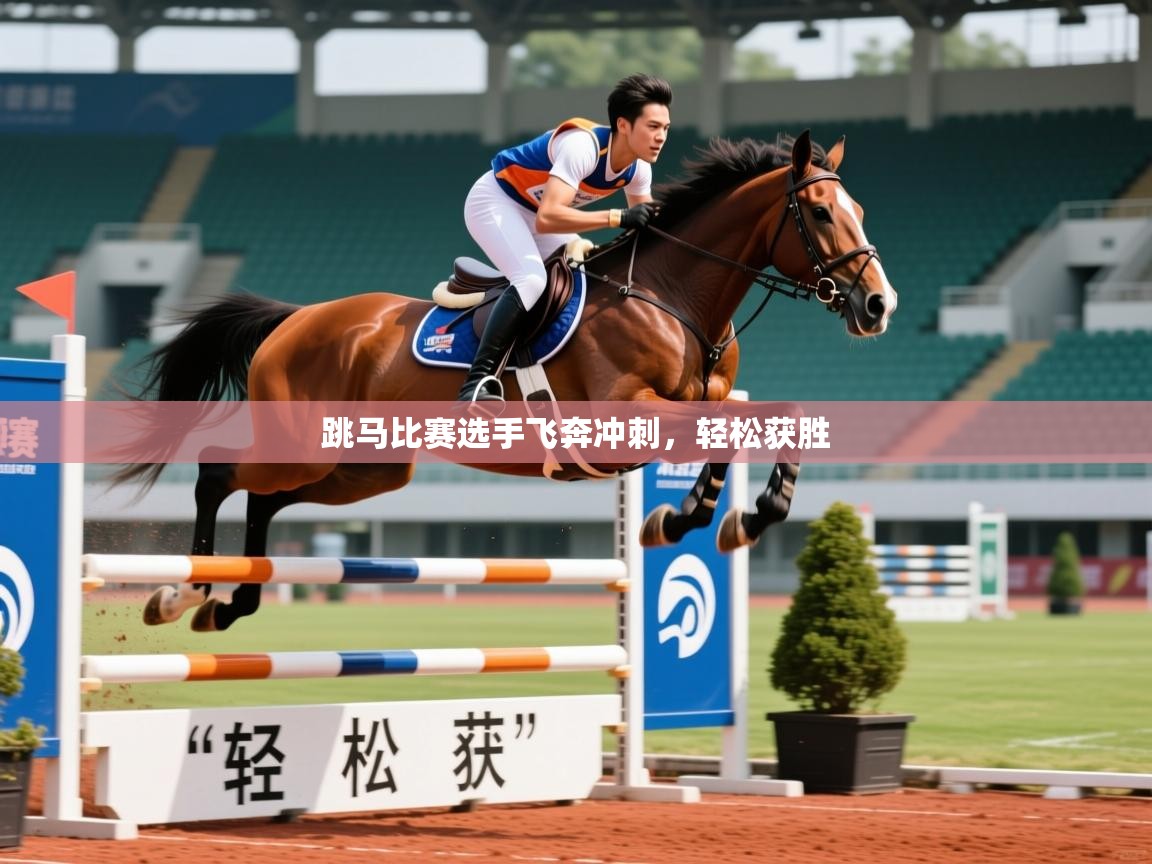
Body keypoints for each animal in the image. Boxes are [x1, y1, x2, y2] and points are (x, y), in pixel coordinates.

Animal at [113, 129, 897, 632]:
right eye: (820, 212)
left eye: (860, 211)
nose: (878, 306)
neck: (675, 294)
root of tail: (297, 317)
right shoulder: (625, 416)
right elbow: (730, 433)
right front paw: (702, 517)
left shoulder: (704, 402)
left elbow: (769, 419)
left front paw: (716, 518)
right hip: (305, 444)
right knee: (219, 473)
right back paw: (181, 592)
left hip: (365, 467)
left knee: (266, 501)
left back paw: (231, 604)